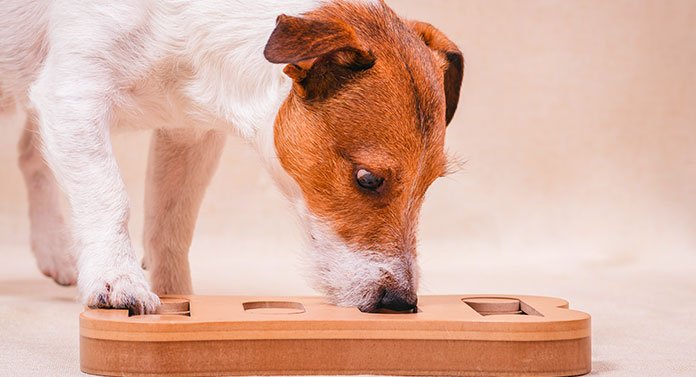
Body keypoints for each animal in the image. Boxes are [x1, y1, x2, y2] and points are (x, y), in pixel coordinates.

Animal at [0, 0, 462, 312]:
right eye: (367, 178)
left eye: (430, 184)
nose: (400, 302)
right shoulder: (74, 97)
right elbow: (109, 196)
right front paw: (117, 279)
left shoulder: (188, 135)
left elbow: (172, 223)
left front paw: (177, 296)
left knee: (31, 154)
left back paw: (56, 251)